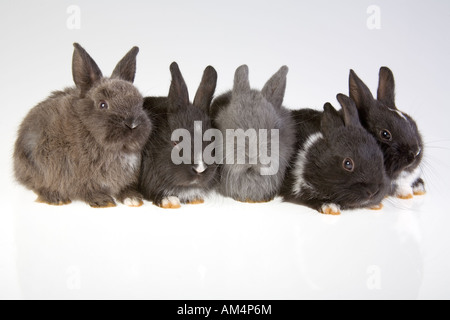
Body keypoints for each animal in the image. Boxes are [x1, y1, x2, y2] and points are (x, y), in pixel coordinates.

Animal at [13, 43, 152, 208]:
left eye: (140, 103)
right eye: (102, 104)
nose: (132, 124)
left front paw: (133, 198)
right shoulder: (74, 175)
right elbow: (86, 190)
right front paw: (103, 200)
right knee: (39, 185)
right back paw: (57, 198)